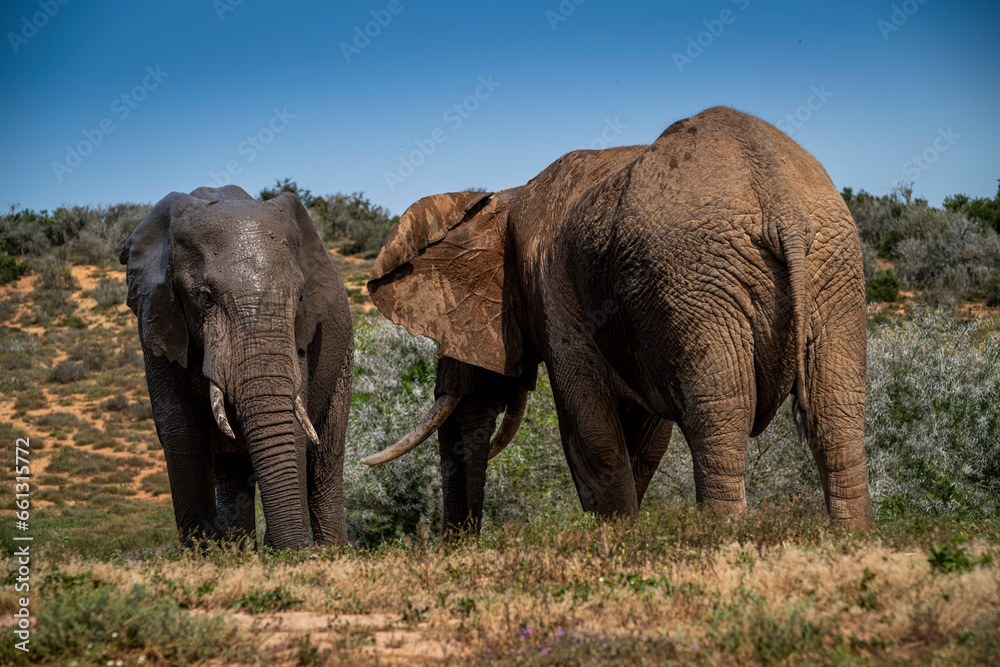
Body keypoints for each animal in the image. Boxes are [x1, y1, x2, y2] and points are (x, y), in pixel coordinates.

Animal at [120, 185, 353, 548]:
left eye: (300, 298)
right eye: (206, 298)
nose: (297, 552)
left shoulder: (299, 338)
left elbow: (294, 425)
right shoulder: (157, 319)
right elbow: (178, 427)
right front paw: (204, 549)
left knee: (325, 461)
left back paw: (330, 551)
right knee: (232, 468)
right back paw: (238, 547)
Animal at [362, 106, 874, 533]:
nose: (460, 542)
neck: (507, 196)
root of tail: (780, 203)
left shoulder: (553, 290)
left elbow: (590, 430)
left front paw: (614, 539)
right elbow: (643, 440)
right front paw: (629, 533)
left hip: (697, 276)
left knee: (721, 412)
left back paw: (723, 539)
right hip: (832, 267)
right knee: (835, 410)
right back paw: (851, 538)